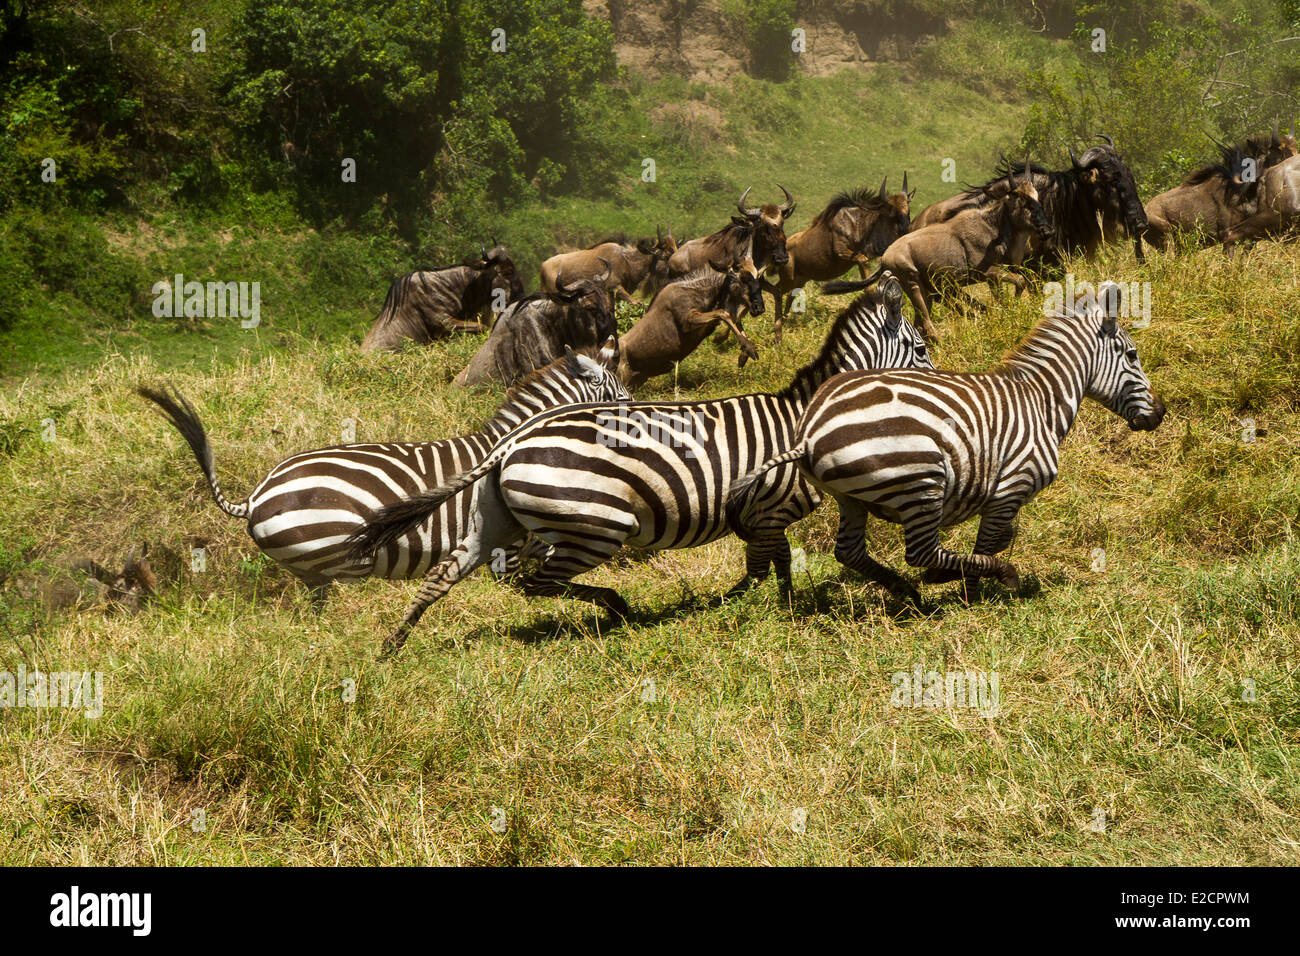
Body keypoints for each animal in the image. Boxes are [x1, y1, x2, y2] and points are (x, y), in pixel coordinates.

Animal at [345, 273, 935, 655]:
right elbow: (770, 566)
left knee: (446, 575)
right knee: (538, 581)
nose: (942, 384)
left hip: (495, 520)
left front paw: (757, 607)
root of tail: (508, 444)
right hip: (597, 525)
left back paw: (393, 645)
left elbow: (774, 565)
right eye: (922, 349)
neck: (802, 418)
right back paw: (616, 611)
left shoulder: (762, 516)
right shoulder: (770, 507)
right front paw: (764, 611)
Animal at [728, 280, 1164, 600]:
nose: (1159, 413)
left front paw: (961, 579)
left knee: (849, 550)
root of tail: (809, 433)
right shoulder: (1010, 487)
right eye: (1132, 355)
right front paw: (974, 587)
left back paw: (905, 590)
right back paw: (969, 577)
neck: (1042, 399)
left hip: (849, 497)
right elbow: (990, 541)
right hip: (922, 480)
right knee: (920, 550)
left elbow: (1002, 536)